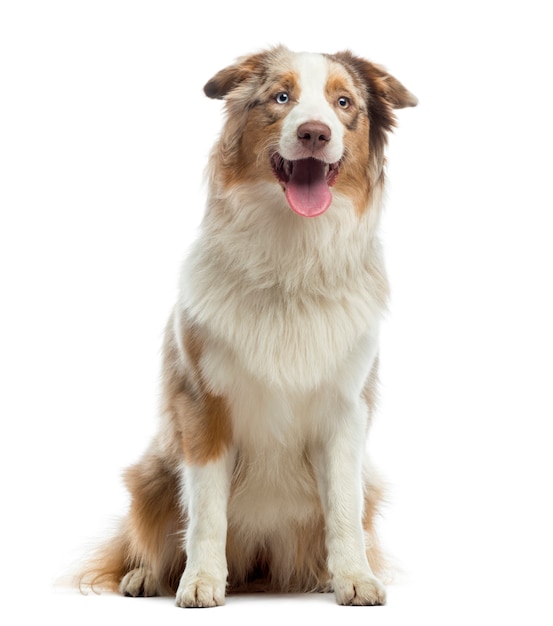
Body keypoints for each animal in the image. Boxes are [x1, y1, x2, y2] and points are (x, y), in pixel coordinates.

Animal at [76, 46, 414, 608]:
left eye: (343, 102)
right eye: (281, 97)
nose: (315, 133)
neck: (292, 257)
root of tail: (259, 564)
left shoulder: (346, 410)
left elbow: (344, 509)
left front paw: (354, 578)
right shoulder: (202, 405)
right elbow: (207, 512)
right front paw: (201, 582)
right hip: (151, 473)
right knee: (142, 539)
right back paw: (145, 577)